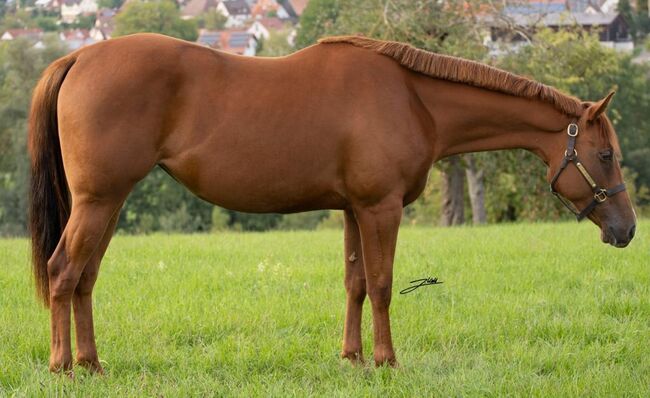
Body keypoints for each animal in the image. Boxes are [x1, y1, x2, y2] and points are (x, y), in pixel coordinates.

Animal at [29, 33, 632, 374]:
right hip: (99, 201)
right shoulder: (381, 208)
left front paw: (352, 358)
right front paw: (387, 362)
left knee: (84, 278)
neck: (414, 100)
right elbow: (383, 284)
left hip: (107, 203)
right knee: (62, 271)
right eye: (604, 155)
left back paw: (92, 364)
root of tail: (78, 56)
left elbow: (356, 283)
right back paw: (62, 367)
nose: (626, 230)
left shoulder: (352, 209)